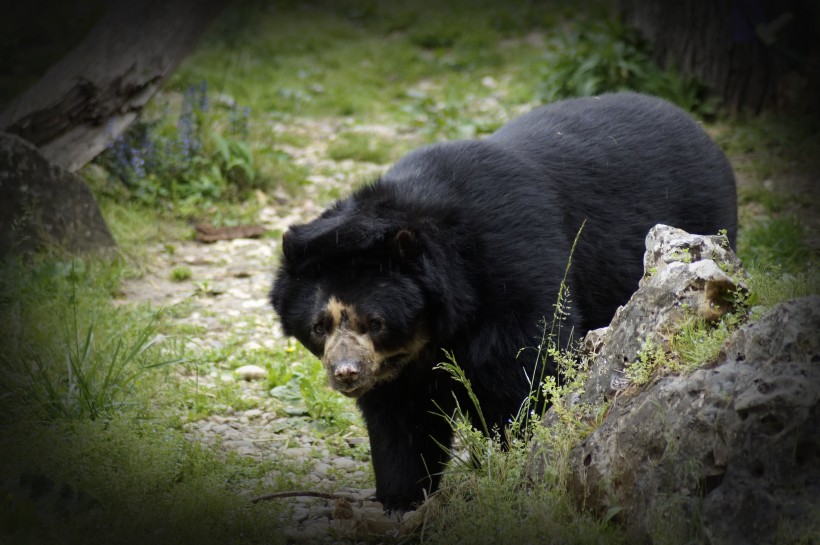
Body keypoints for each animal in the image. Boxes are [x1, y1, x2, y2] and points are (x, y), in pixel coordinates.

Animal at [270, 91, 736, 512]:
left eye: (375, 322)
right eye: (319, 326)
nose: (347, 372)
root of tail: (698, 128)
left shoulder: (515, 270)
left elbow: (527, 371)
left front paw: (517, 460)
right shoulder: (394, 366)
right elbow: (398, 416)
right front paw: (401, 498)